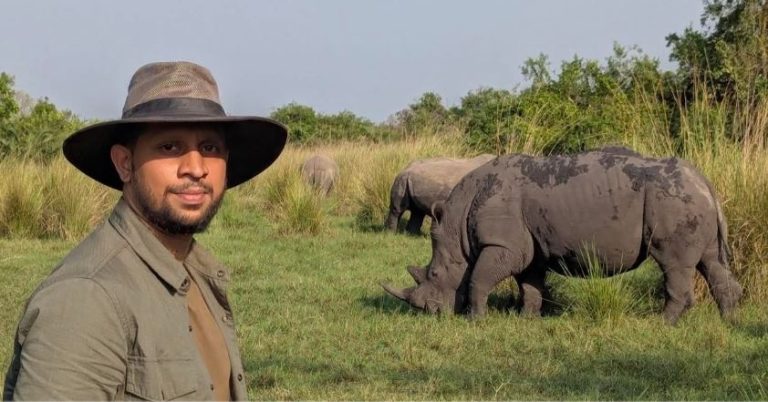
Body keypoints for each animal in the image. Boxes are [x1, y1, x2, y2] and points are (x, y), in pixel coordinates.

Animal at [382, 147, 743, 325]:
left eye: (434, 274)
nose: (430, 313)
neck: (457, 226)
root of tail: (704, 180)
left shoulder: (502, 244)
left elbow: (478, 279)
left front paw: (475, 319)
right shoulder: (527, 247)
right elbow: (529, 284)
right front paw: (526, 319)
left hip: (673, 201)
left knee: (673, 264)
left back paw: (661, 324)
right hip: (689, 200)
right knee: (710, 262)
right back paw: (729, 321)